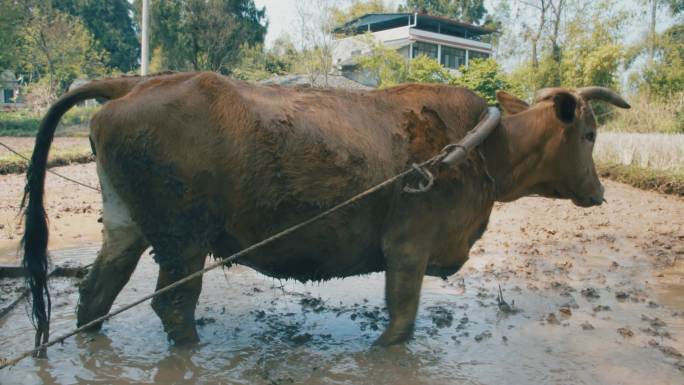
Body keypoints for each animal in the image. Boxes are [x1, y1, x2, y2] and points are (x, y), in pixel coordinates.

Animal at [21, 72, 632, 348]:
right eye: (591, 135)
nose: (601, 193)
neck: (485, 147)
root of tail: (135, 82)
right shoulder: (407, 247)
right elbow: (400, 324)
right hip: (183, 240)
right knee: (172, 306)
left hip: (126, 227)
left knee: (96, 295)